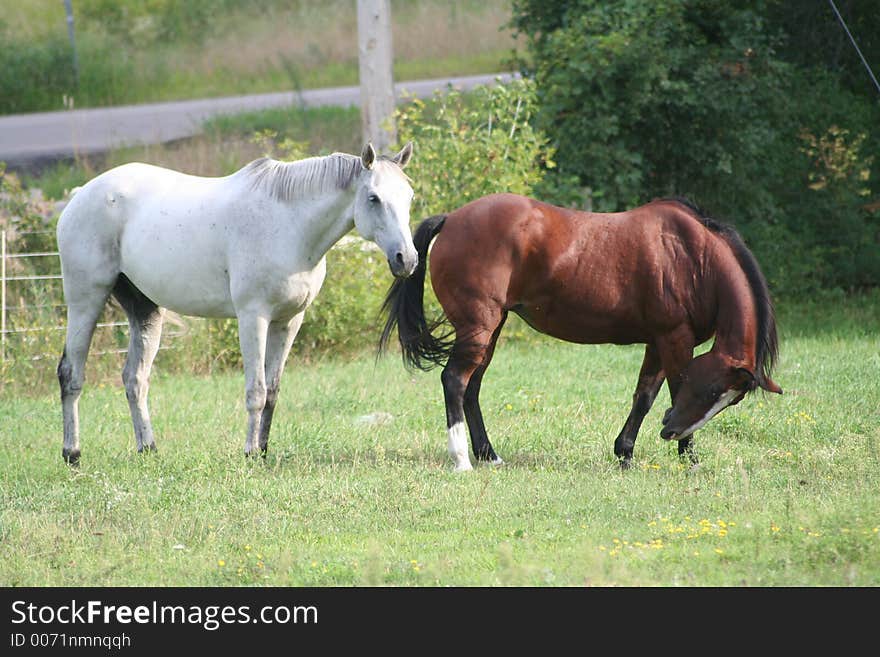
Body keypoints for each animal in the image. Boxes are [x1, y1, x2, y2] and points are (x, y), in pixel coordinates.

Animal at [57, 142, 416, 464]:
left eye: (409, 196)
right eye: (374, 198)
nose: (407, 259)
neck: (288, 224)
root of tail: (80, 195)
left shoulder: (289, 320)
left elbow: (272, 391)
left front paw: (264, 451)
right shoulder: (253, 317)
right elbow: (256, 391)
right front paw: (249, 452)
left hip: (144, 310)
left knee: (135, 379)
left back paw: (148, 449)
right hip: (86, 299)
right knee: (71, 374)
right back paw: (72, 453)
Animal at [380, 192, 784, 468]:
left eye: (731, 400)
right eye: (713, 390)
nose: (671, 432)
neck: (691, 257)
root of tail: (451, 219)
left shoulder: (657, 341)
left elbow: (644, 397)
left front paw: (625, 452)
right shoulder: (674, 339)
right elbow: (673, 391)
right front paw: (689, 458)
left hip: (490, 330)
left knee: (471, 387)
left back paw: (489, 455)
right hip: (478, 328)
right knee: (454, 381)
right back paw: (462, 458)